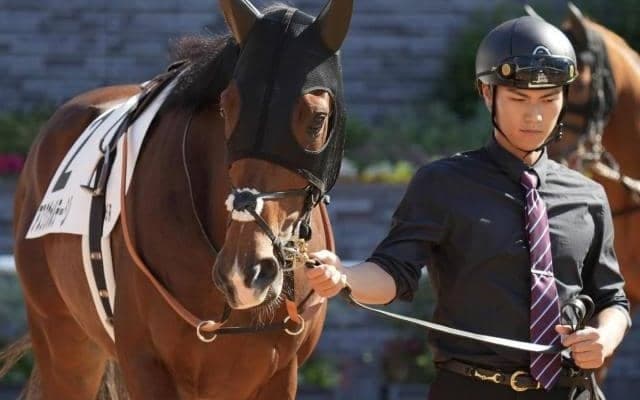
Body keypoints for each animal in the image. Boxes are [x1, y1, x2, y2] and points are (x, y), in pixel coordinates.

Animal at [1, 0, 353, 398]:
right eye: (227, 108)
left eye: (318, 118)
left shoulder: (280, 374)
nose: (244, 273)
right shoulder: (146, 364)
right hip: (62, 341)